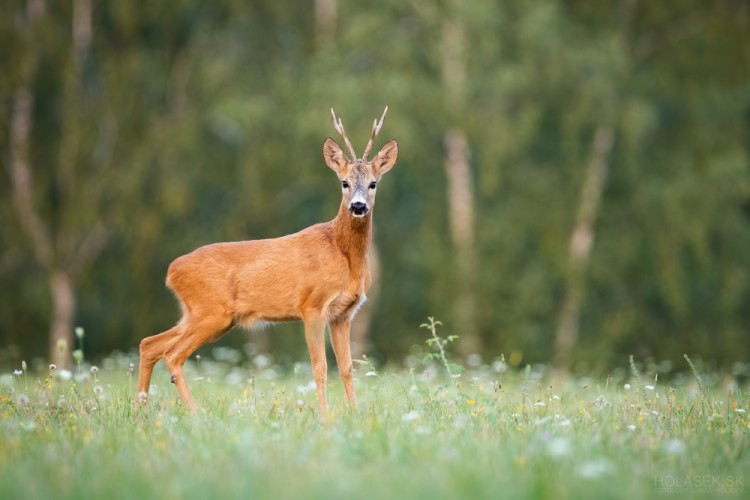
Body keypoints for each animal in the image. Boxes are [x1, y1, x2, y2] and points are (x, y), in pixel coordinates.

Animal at [139, 108, 402, 414]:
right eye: (344, 182)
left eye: (373, 183)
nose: (358, 206)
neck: (343, 256)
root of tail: (171, 271)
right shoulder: (312, 305)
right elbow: (320, 367)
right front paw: (326, 416)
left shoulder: (344, 313)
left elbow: (347, 368)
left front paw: (354, 413)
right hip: (212, 312)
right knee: (172, 354)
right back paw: (195, 412)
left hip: (199, 314)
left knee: (150, 343)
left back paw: (141, 406)